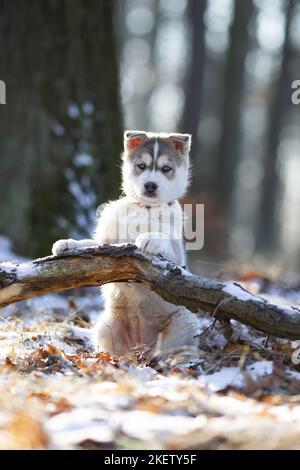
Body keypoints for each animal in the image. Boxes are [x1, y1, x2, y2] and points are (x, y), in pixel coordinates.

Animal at [52, 130, 200, 358]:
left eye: (166, 169)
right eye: (141, 165)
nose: (150, 185)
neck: (145, 208)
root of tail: (141, 348)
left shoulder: (177, 256)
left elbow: (165, 243)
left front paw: (151, 239)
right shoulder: (107, 242)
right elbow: (91, 243)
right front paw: (69, 244)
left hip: (185, 321)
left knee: (170, 352)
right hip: (106, 325)